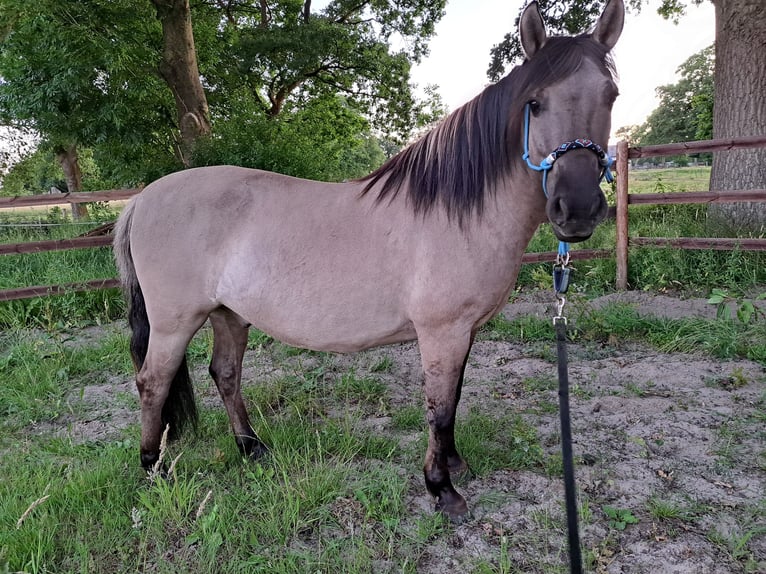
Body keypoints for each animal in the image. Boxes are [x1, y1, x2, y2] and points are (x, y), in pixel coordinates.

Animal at [113, 0, 624, 520]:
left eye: (612, 95)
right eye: (535, 103)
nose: (577, 209)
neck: (457, 210)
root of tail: (142, 199)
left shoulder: (463, 332)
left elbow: (453, 397)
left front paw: (453, 464)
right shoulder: (442, 331)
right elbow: (439, 406)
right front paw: (441, 487)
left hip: (228, 313)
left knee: (225, 374)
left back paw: (251, 447)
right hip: (175, 323)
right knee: (153, 382)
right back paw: (153, 467)